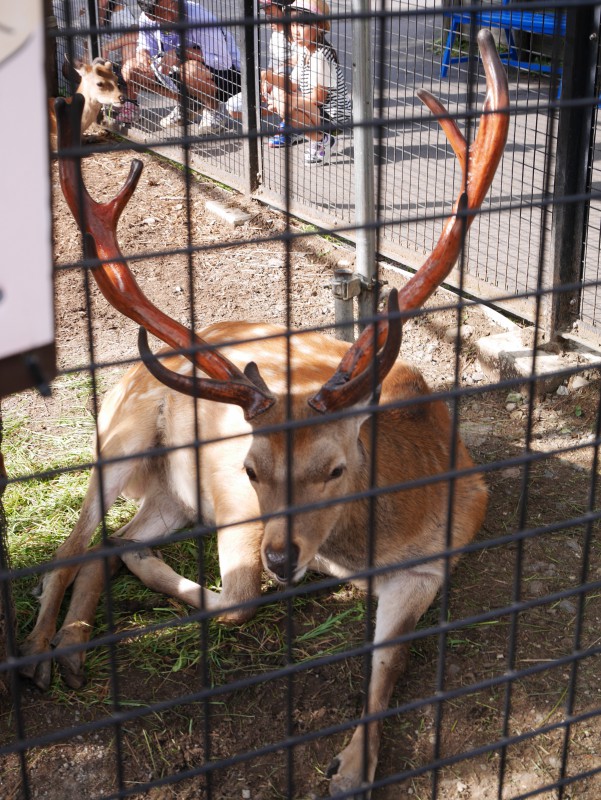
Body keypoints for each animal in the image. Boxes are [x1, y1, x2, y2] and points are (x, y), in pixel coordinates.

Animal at [22, 29, 506, 792]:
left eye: (335, 468)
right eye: (250, 467)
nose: (285, 556)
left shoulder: (434, 562)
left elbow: (389, 663)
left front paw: (351, 766)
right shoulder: (238, 516)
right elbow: (237, 599)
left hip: (169, 491)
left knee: (111, 540)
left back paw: (74, 644)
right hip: (118, 435)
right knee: (68, 550)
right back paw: (41, 650)